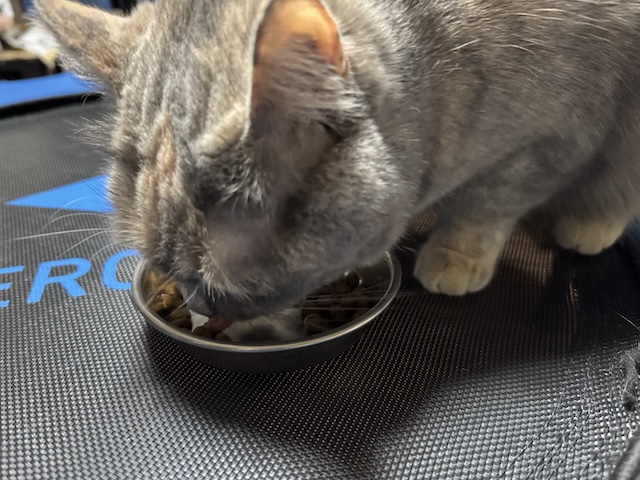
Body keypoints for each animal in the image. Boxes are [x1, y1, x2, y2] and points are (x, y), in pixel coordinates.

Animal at [36, 0, 640, 323]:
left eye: (222, 287)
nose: (200, 309)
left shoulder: (553, 138)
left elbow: (485, 204)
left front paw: (456, 253)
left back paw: (591, 221)